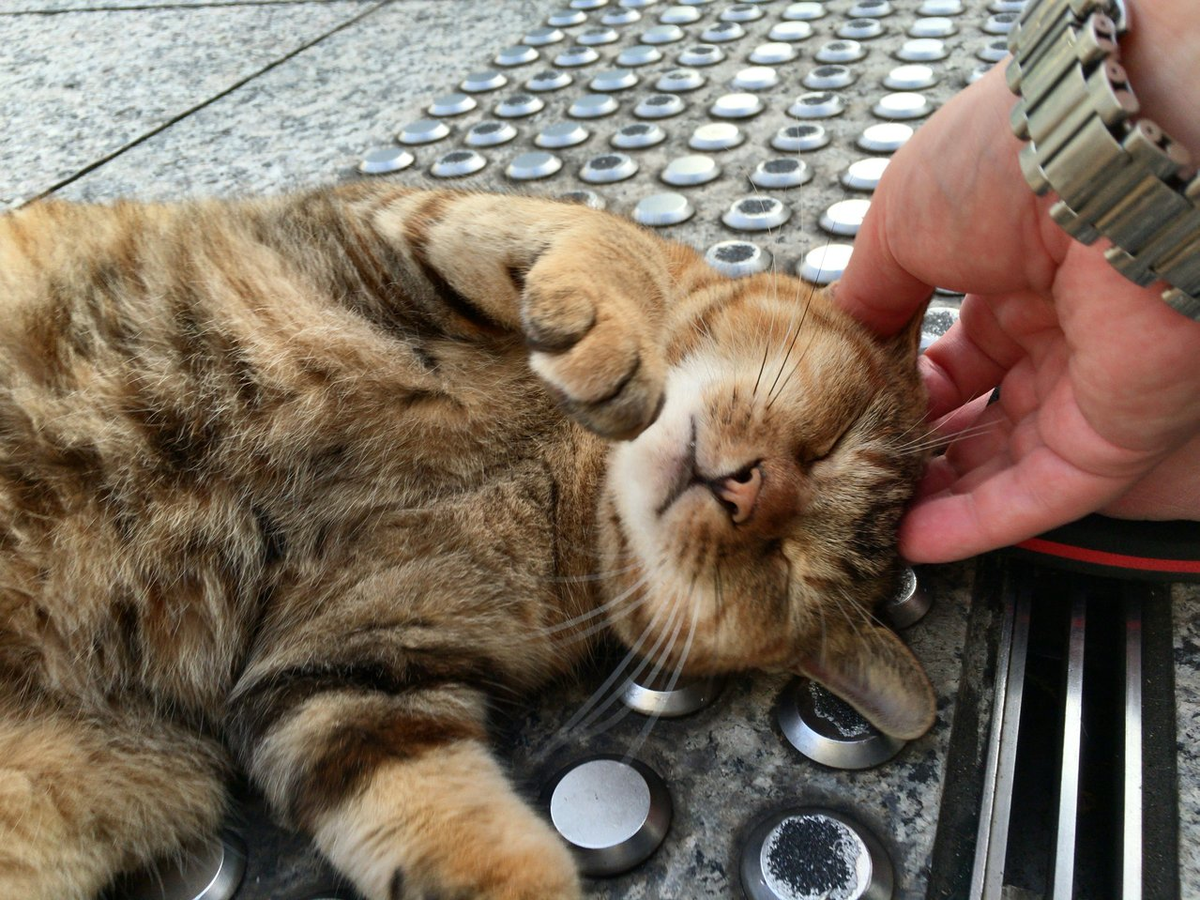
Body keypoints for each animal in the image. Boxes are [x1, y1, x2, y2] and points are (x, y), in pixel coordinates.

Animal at [0, 183, 935, 900]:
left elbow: (447, 828)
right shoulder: (398, 222)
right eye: (832, 439)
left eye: (786, 571)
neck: (568, 479)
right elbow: (602, 240)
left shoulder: (348, 671)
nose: (750, 495)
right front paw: (615, 338)